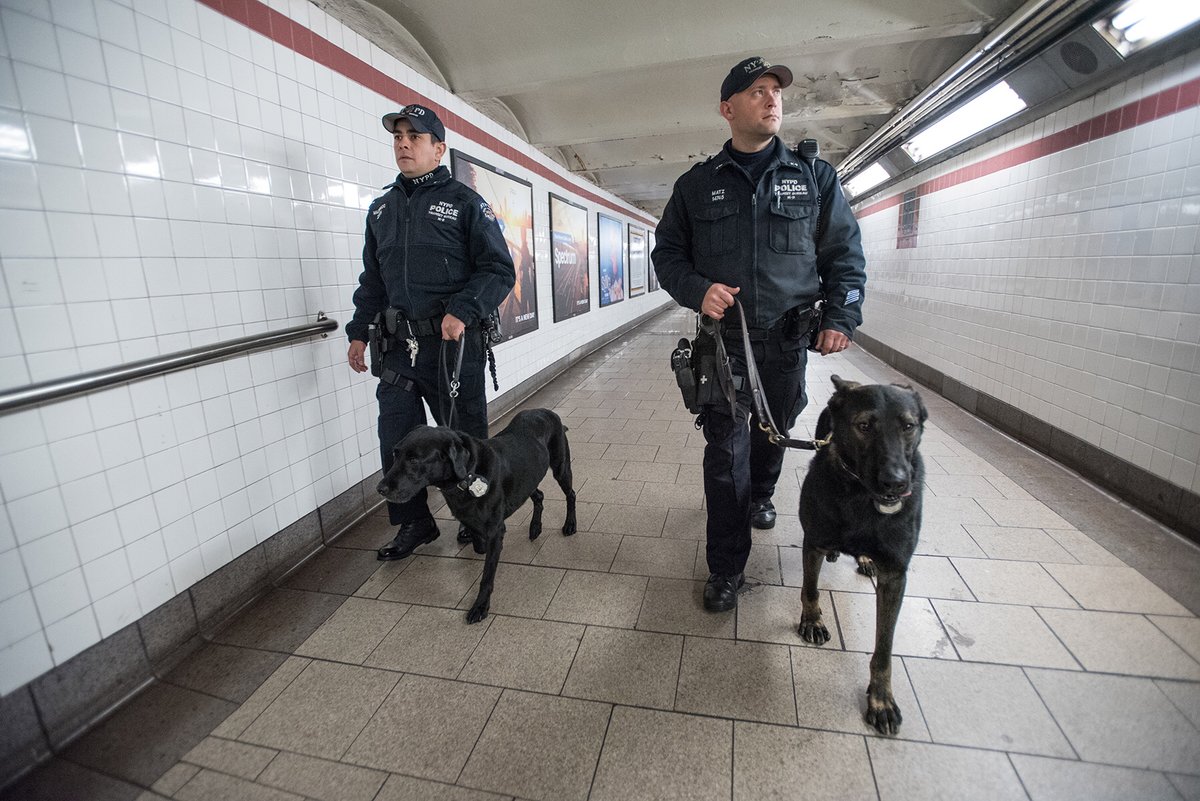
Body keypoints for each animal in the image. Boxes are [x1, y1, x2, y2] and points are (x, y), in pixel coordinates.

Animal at [376, 410, 578, 623]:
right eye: (395, 454)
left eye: (414, 460)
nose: (380, 489)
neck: (468, 474)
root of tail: (546, 411)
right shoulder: (472, 521)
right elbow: (478, 544)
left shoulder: (496, 531)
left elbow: (487, 575)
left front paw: (480, 606)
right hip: (528, 480)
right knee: (539, 496)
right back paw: (535, 527)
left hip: (560, 468)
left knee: (571, 494)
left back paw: (570, 524)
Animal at [796, 374, 926, 733]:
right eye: (864, 425)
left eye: (908, 426)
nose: (895, 482)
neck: (861, 498)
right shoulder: (813, 540)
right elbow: (810, 590)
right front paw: (812, 621)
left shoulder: (895, 574)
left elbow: (884, 648)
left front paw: (881, 700)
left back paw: (865, 559)